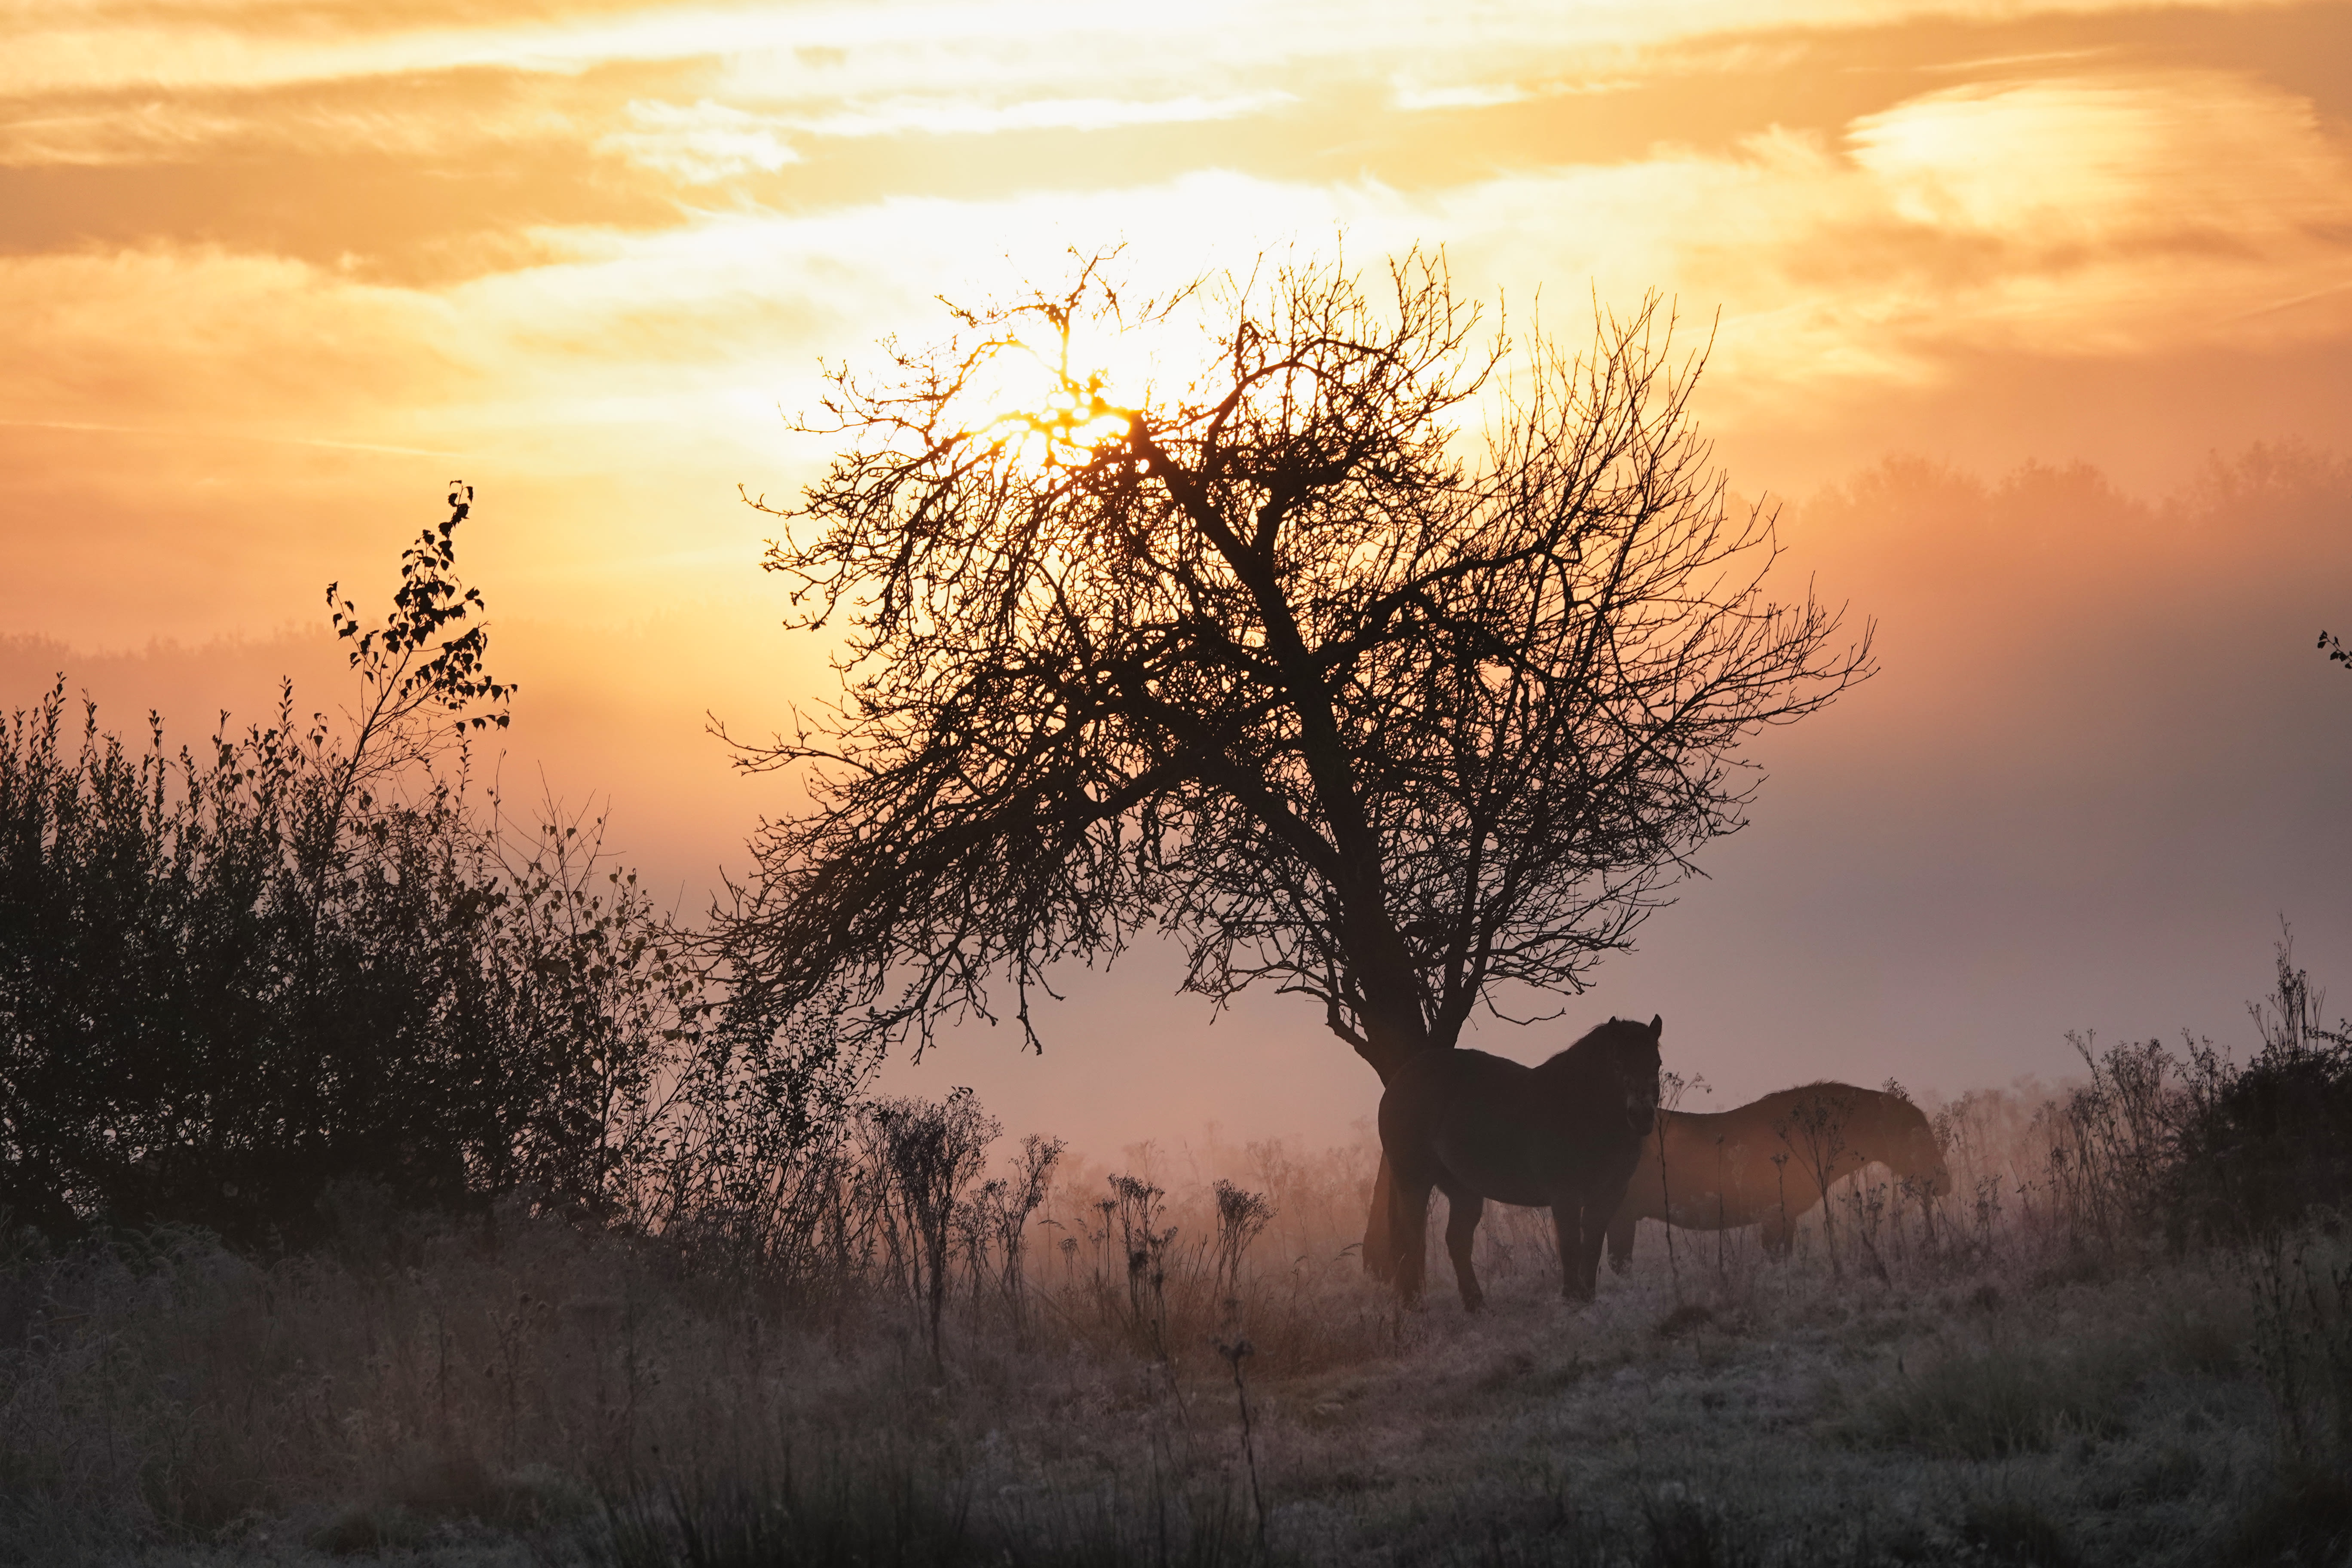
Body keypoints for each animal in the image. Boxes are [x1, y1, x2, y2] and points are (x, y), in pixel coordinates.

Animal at [1373, 1020, 1665, 1316]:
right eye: (1617, 1064)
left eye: (1657, 1063)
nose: (1642, 1115)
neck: (1578, 1111)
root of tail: (1399, 1080)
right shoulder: (1566, 1197)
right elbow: (1571, 1245)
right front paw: (1571, 1299)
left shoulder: (1609, 1196)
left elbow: (1593, 1247)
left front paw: (1588, 1299)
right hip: (1413, 1181)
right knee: (1411, 1237)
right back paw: (1415, 1305)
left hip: (1464, 1190)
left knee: (1457, 1241)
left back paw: (1476, 1305)